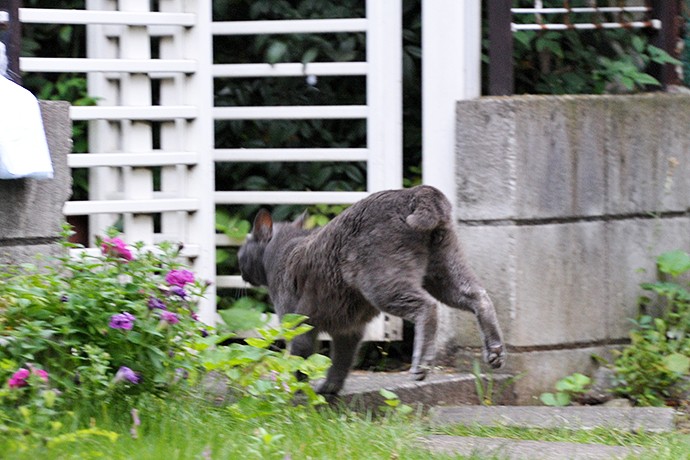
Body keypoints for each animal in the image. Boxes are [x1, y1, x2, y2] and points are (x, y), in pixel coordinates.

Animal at [239, 185, 502, 394]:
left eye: (241, 251)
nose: (240, 269)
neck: (280, 251)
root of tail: (416, 191)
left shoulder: (297, 322)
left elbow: (299, 358)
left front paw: (296, 391)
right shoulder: (348, 329)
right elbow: (341, 360)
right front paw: (329, 388)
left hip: (382, 282)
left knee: (427, 306)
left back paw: (421, 365)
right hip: (444, 269)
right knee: (479, 296)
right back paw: (495, 351)